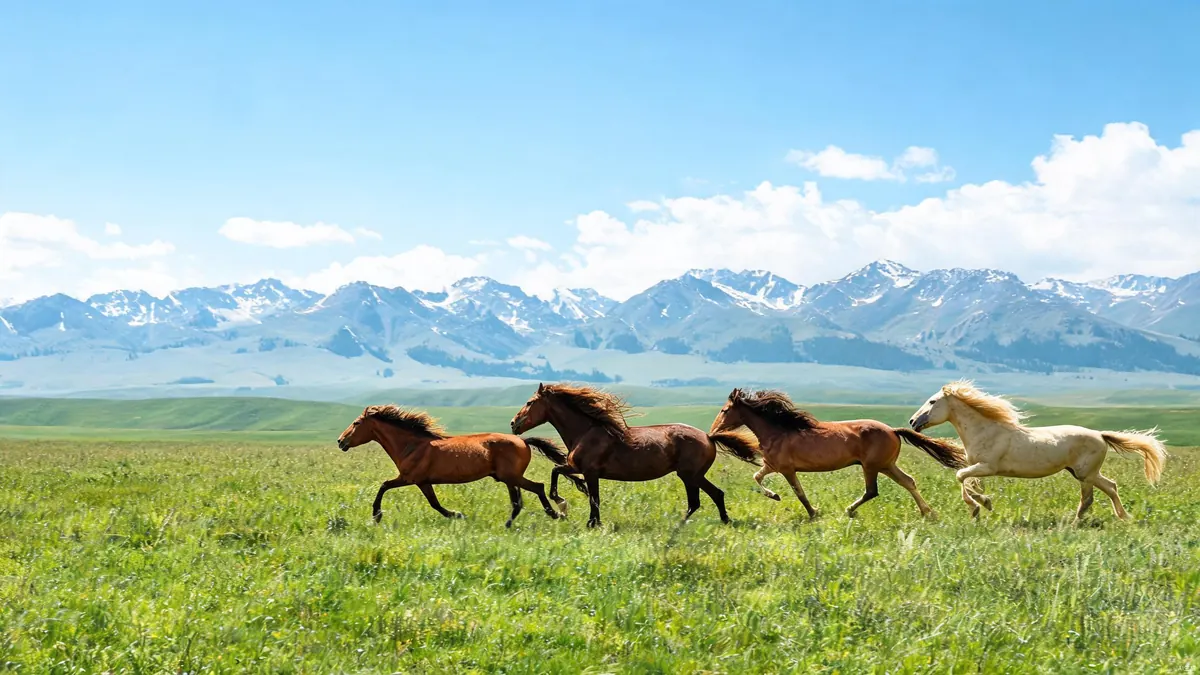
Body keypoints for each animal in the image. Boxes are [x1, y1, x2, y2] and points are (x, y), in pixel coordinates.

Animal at [337, 405, 571, 528]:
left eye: (356, 423)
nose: (340, 441)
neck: (411, 445)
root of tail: (523, 441)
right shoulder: (423, 482)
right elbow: (434, 504)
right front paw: (459, 515)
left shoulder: (411, 478)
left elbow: (385, 486)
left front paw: (376, 515)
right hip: (507, 478)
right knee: (519, 501)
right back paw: (512, 524)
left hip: (511, 477)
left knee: (536, 488)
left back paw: (555, 514)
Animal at [508, 383, 761, 528]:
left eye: (530, 402)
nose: (513, 424)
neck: (585, 431)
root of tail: (709, 437)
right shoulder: (580, 469)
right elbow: (559, 473)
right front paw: (581, 514)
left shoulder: (590, 471)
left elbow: (590, 496)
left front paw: (583, 517)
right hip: (692, 476)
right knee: (709, 497)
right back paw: (716, 522)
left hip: (690, 475)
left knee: (703, 498)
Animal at [709, 388, 968, 519]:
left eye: (725, 410)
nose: (713, 431)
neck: (778, 431)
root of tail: (893, 430)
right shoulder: (771, 465)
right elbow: (757, 476)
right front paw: (776, 496)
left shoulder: (785, 469)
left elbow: (799, 493)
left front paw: (811, 512)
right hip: (886, 465)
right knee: (908, 482)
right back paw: (927, 512)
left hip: (871, 466)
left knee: (872, 491)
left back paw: (849, 510)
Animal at [908, 380, 1168, 521]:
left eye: (932, 401)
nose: (912, 422)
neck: (985, 430)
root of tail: (1101, 435)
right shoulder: (978, 467)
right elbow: (968, 481)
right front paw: (983, 504)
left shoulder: (987, 467)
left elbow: (960, 476)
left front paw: (978, 507)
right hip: (1082, 473)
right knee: (1110, 488)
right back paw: (1121, 518)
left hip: (1085, 474)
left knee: (1089, 498)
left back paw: (1076, 524)